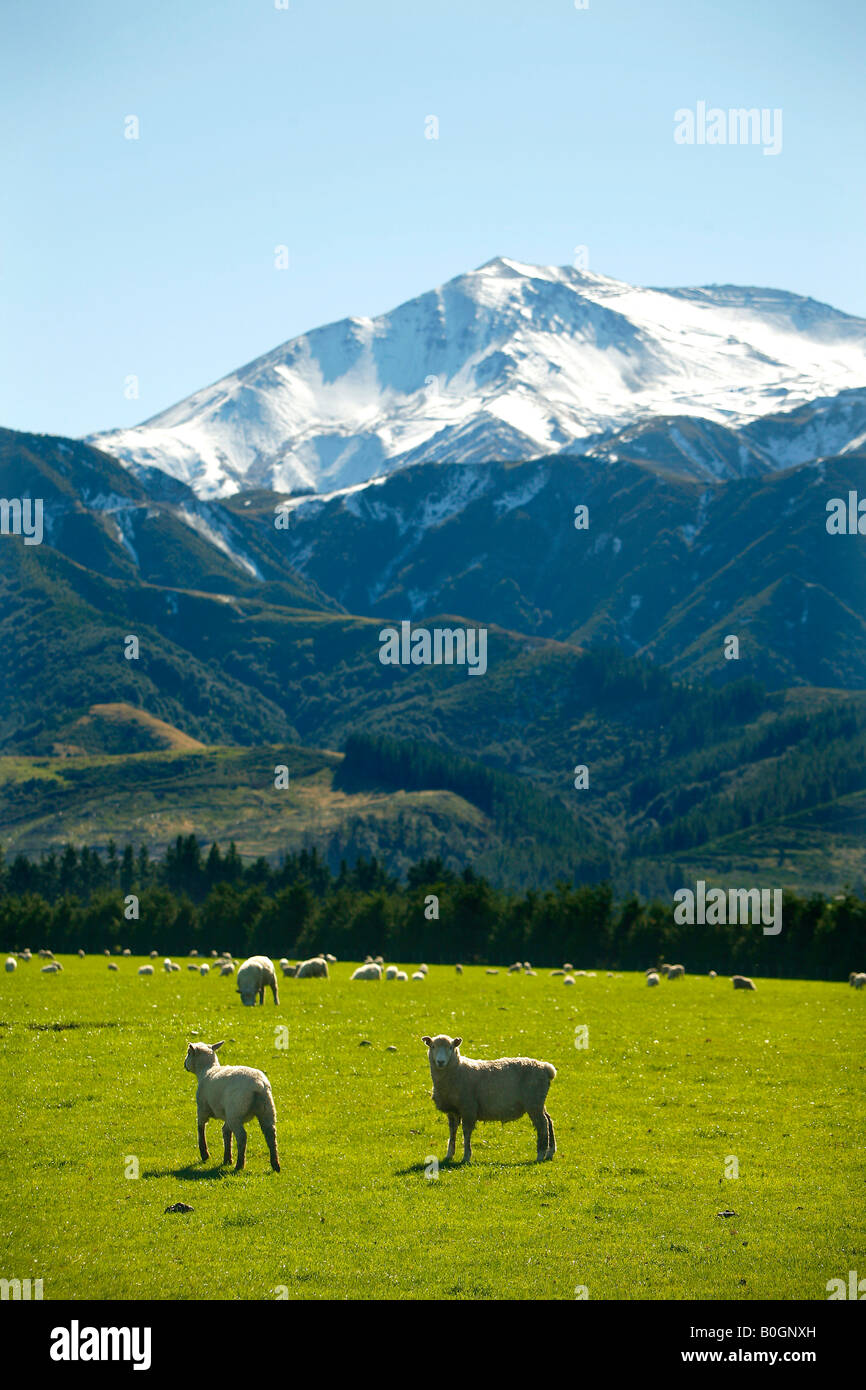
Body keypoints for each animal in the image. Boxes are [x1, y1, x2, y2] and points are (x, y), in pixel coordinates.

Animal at [183, 1045, 280, 1173]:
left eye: (188, 1053)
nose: (184, 1064)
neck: (207, 1070)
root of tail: (258, 1084)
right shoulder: (227, 1115)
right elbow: (226, 1132)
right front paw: (227, 1159)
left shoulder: (202, 1108)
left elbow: (201, 1128)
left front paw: (205, 1155)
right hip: (267, 1109)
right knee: (271, 1134)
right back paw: (275, 1165)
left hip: (236, 1112)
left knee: (242, 1136)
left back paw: (240, 1165)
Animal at [422, 1034, 558, 1162]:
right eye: (432, 1046)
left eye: (451, 1047)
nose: (440, 1062)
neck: (457, 1070)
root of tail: (545, 1068)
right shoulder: (452, 1110)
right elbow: (452, 1131)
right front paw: (449, 1155)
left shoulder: (468, 1108)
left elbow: (466, 1132)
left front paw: (466, 1156)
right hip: (539, 1101)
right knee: (549, 1120)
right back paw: (550, 1152)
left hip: (533, 1101)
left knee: (543, 1125)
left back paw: (540, 1155)